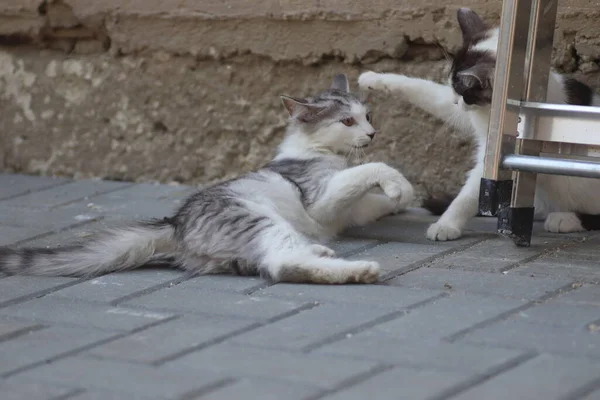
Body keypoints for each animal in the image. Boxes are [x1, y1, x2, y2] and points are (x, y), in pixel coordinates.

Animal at [0, 74, 412, 284]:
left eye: (368, 116)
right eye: (347, 121)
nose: (372, 134)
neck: (318, 151)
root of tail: (175, 223)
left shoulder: (351, 211)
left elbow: (370, 199)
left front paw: (398, 200)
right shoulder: (322, 199)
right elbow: (371, 169)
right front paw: (401, 186)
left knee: (273, 262)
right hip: (258, 219)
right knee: (279, 266)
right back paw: (358, 270)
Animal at [358, 7, 600, 242]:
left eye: (464, 92)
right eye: (453, 87)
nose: (456, 101)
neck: (492, 109)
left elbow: (473, 192)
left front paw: (446, 225)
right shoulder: (466, 115)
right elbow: (426, 92)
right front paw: (373, 78)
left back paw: (565, 218)